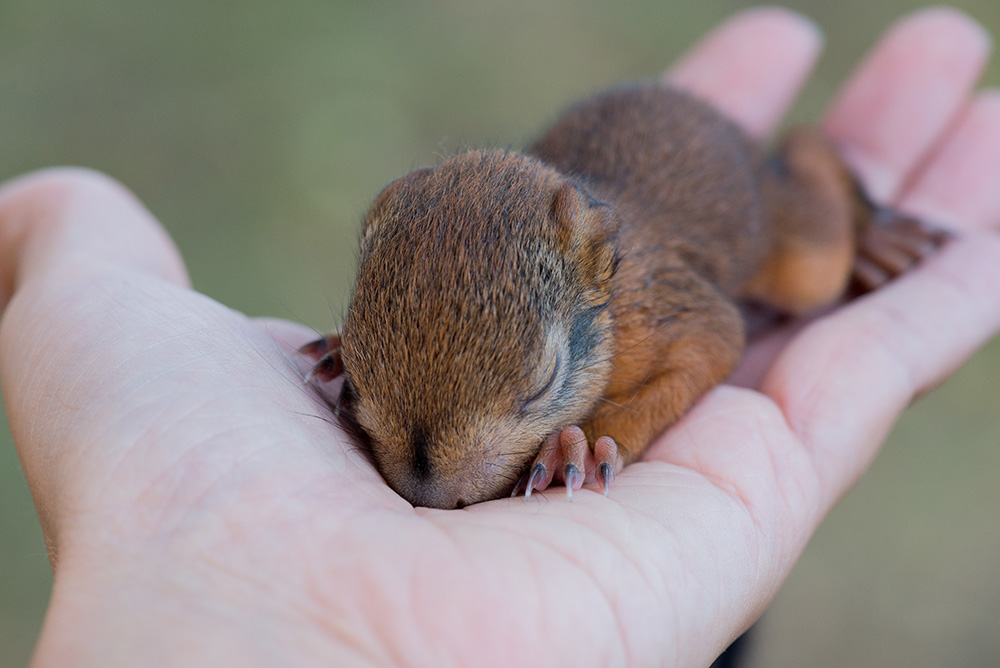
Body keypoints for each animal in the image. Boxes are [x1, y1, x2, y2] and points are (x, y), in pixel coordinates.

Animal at [300, 81, 948, 508]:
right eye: (358, 372)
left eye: (544, 383)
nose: (429, 497)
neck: (613, 299)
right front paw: (330, 348)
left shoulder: (672, 307)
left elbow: (711, 349)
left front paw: (582, 446)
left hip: (801, 252)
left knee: (813, 176)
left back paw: (871, 227)